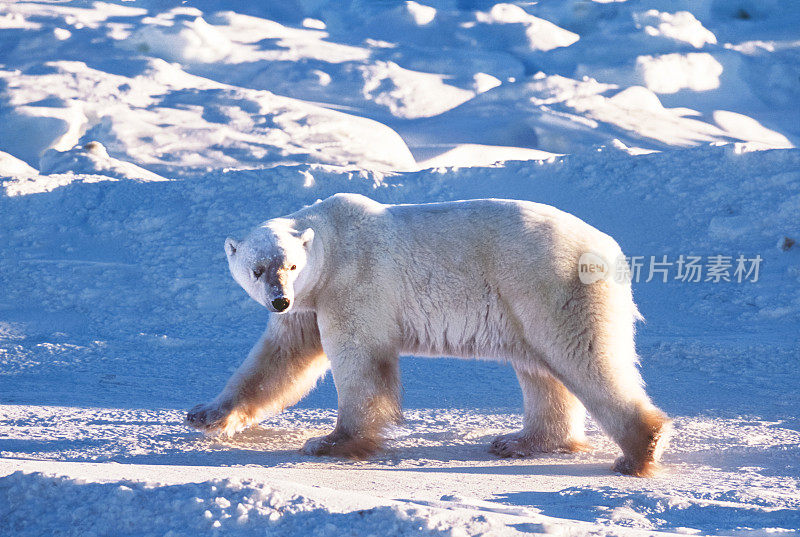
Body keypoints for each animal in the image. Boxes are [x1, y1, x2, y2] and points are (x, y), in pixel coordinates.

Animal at [191, 194, 672, 478]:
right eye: (258, 269)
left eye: (290, 264)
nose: (279, 300)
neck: (331, 239)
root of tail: (610, 250)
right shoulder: (310, 304)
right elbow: (281, 357)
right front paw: (206, 415)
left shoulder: (353, 283)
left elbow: (359, 359)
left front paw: (330, 442)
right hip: (525, 303)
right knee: (540, 369)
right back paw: (518, 441)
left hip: (547, 284)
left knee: (582, 356)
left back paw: (638, 451)